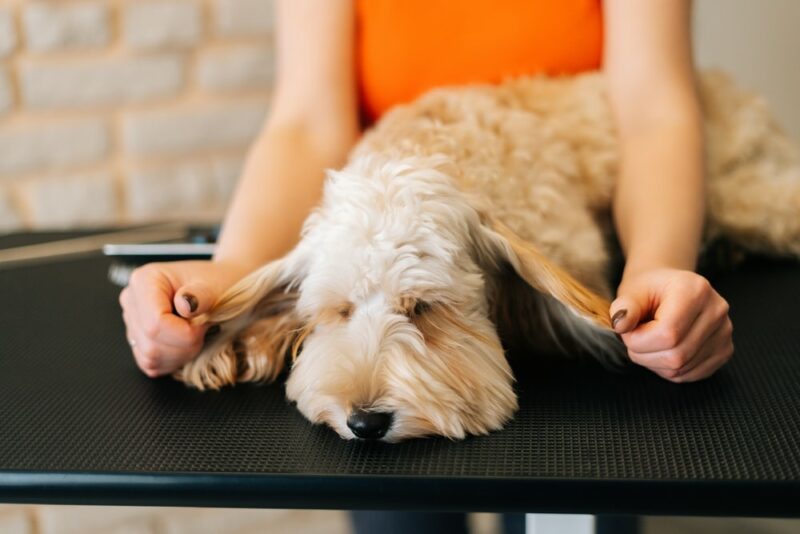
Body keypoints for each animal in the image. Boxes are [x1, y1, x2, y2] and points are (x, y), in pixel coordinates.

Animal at [173, 73, 800, 446]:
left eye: (423, 308)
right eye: (340, 311)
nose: (366, 423)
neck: (431, 150)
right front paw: (236, 343)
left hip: (739, 193)